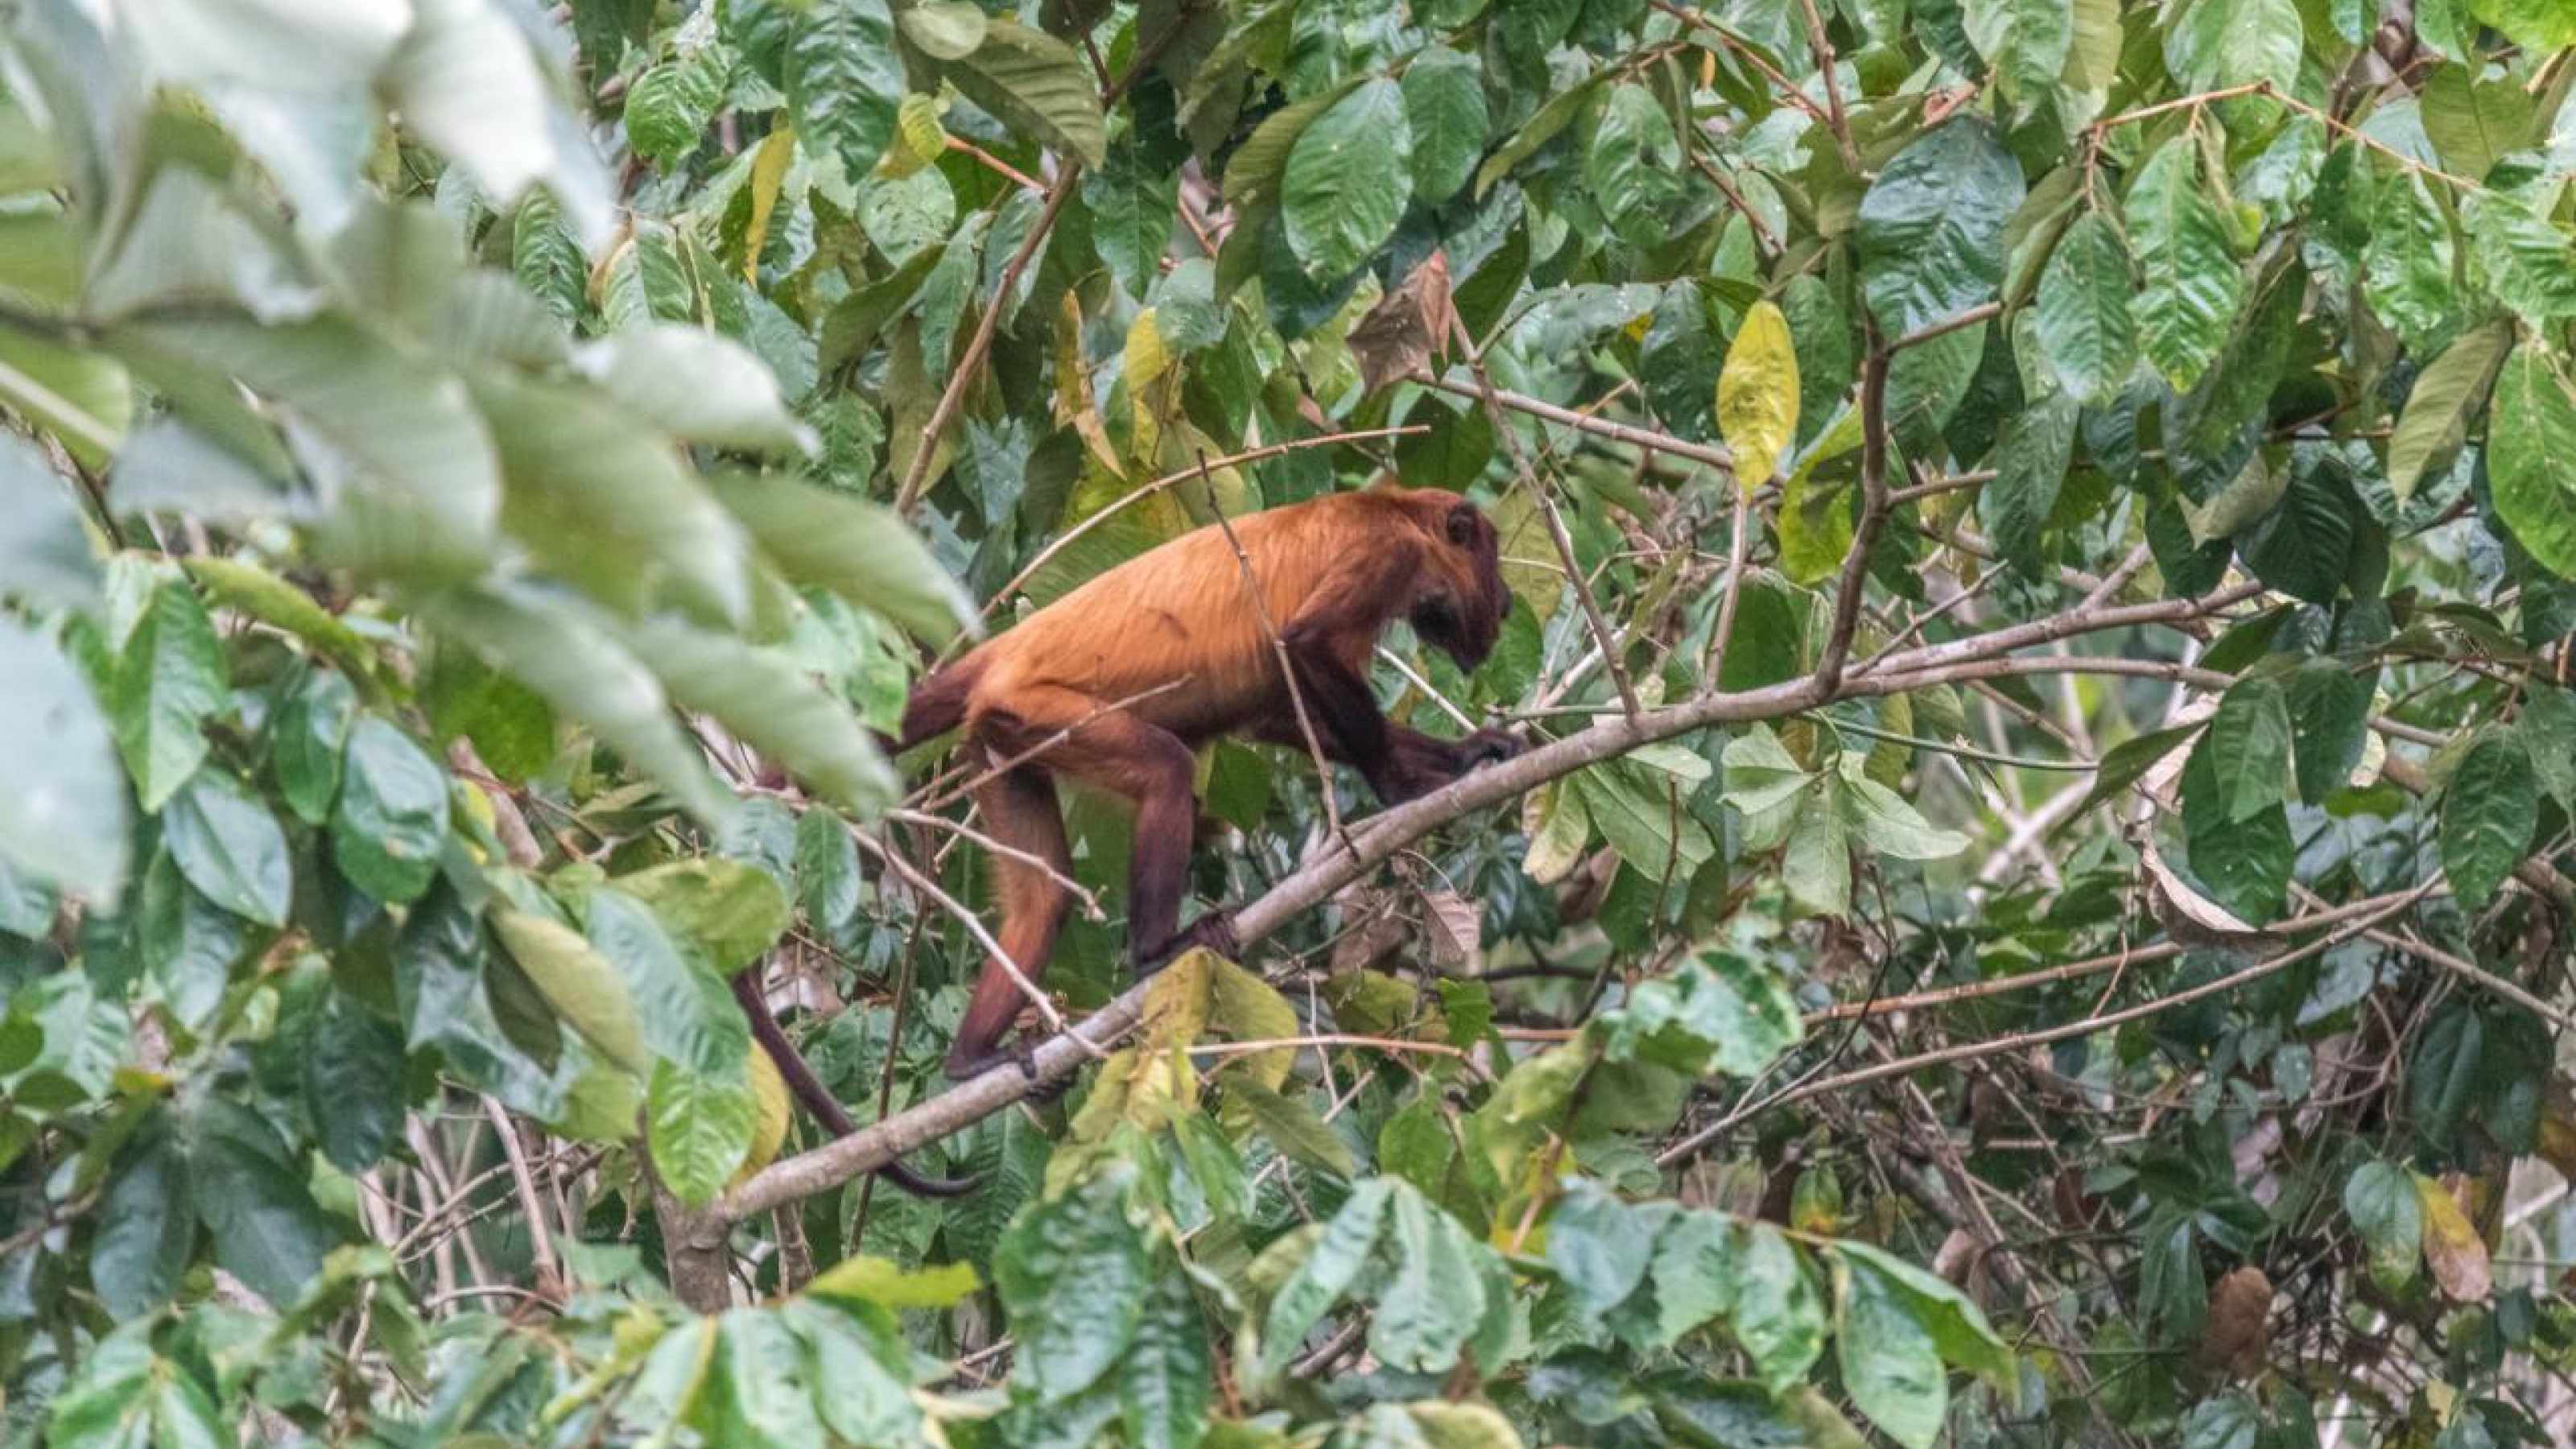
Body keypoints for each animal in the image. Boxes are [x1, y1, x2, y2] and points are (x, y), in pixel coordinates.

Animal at [889, 481, 1525, 1081]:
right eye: (1492, 560)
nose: (1509, 602)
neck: (1395, 512)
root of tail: (1002, 652)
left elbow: (1281, 716)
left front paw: (1465, 754)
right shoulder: (1386, 554)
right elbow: (1309, 644)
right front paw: (1399, 788)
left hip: (997, 740)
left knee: (1043, 897)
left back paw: (969, 1059)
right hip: (1040, 710)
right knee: (1166, 771)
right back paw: (1154, 952)